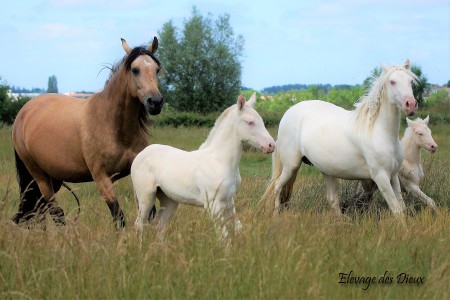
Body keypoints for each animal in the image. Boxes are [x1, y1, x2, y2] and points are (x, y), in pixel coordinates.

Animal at [132, 93, 276, 239]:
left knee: (160, 226)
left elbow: (238, 227)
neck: (220, 161)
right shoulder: (213, 205)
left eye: (262, 120)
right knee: (139, 225)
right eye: (250, 122)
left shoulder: (228, 201)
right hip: (146, 197)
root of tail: (141, 154)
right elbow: (224, 236)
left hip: (169, 200)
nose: (271, 145)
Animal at [260, 59, 418, 217]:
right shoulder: (381, 177)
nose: (410, 105)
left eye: (410, 81)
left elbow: (402, 207)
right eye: (392, 82)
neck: (380, 132)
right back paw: (275, 215)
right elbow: (397, 210)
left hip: (326, 170)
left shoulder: (393, 176)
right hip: (290, 166)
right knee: (276, 187)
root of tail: (288, 114)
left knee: (332, 200)